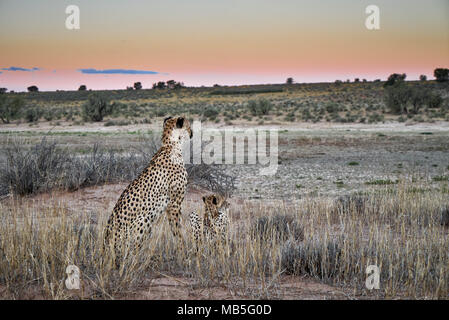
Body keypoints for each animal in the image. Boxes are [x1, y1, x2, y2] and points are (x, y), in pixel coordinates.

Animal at [104, 117, 192, 255]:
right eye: (189, 127)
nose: (192, 133)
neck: (170, 146)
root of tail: (105, 245)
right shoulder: (174, 204)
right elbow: (177, 229)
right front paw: (183, 249)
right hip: (144, 219)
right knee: (132, 248)